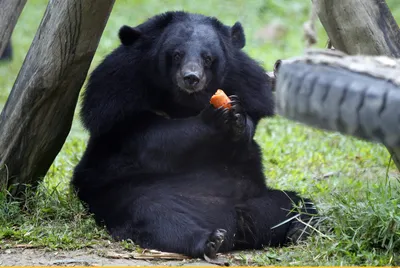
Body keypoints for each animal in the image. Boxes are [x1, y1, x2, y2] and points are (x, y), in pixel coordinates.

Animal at [71, 11, 316, 260]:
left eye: (207, 58)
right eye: (176, 55)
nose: (191, 78)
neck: (185, 101)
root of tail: (235, 225)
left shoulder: (248, 85)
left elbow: (245, 133)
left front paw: (237, 116)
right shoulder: (117, 99)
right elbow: (155, 140)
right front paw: (214, 116)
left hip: (257, 199)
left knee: (295, 204)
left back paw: (300, 228)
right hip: (132, 196)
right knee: (159, 217)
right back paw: (210, 240)